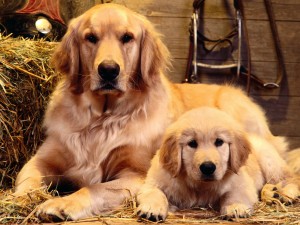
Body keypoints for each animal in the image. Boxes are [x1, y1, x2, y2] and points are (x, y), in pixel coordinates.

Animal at [137, 107, 298, 221]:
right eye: (192, 143)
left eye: (219, 142)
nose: (208, 167)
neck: (199, 186)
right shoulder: (154, 181)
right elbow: (155, 192)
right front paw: (151, 209)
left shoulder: (242, 183)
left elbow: (233, 193)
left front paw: (235, 207)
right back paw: (272, 192)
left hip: (269, 160)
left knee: (290, 178)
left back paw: (286, 193)